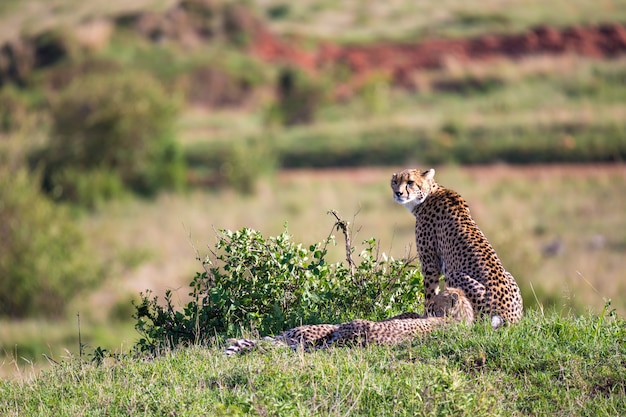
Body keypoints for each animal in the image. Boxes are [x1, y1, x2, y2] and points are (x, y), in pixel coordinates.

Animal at [390, 167, 520, 328]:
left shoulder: (430, 264)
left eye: (410, 182)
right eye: (395, 182)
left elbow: (430, 293)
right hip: (509, 276)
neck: (428, 195)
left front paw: (426, 316)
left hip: (454, 276)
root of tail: (511, 318)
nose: (398, 193)